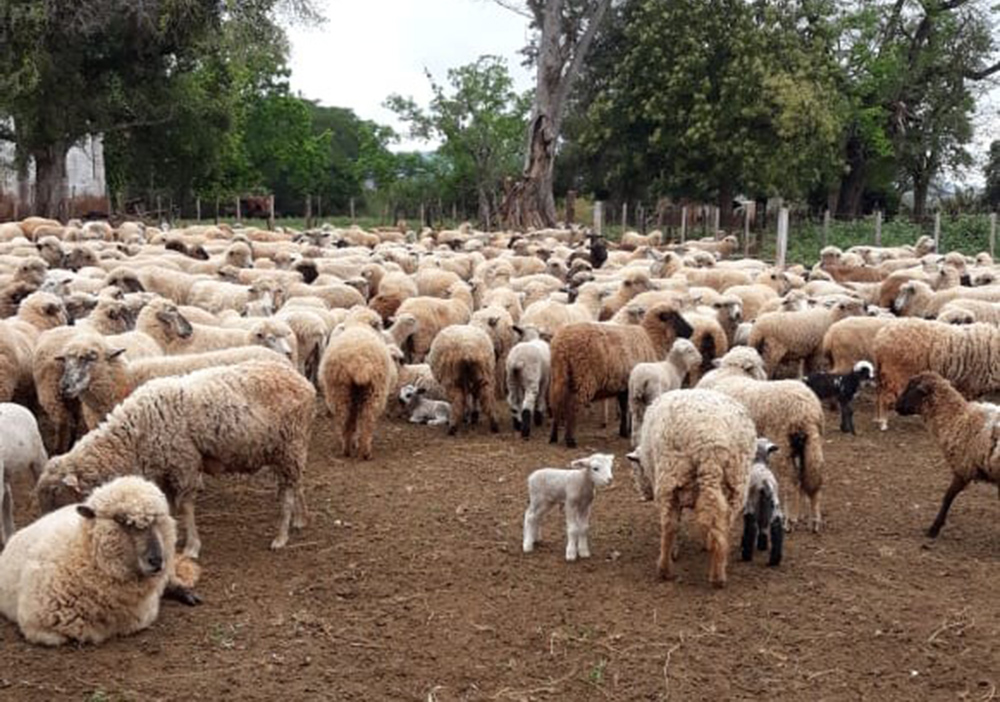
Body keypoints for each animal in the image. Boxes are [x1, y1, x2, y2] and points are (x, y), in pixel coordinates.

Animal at [36, 360, 312, 560]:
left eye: (56, 493)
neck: (135, 433)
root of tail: (302, 381)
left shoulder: (184, 463)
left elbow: (186, 506)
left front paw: (191, 547)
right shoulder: (164, 469)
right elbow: (167, 505)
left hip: (290, 445)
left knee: (288, 491)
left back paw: (281, 536)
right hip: (287, 449)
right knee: (297, 482)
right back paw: (300, 519)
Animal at [320, 316, 398, 460]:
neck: (359, 324)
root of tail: (359, 362)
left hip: (340, 390)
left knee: (345, 419)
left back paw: (347, 448)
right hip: (375, 390)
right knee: (367, 419)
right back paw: (365, 452)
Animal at [548, 304, 696, 448]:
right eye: (674, 317)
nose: (692, 331)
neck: (651, 340)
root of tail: (562, 345)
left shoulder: (624, 385)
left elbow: (625, 408)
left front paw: (624, 431)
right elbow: (628, 409)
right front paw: (626, 431)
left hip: (559, 376)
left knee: (557, 403)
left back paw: (553, 437)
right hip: (584, 377)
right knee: (572, 406)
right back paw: (570, 440)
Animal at [868, 320, 1000, 432]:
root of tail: (879, 340)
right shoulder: (968, 385)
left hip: (882, 373)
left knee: (878, 394)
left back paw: (877, 418)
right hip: (895, 373)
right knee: (886, 397)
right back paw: (883, 422)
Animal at [896, 374, 996, 540]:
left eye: (911, 388)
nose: (896, 405)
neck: (958, 419)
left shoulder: (963, 468)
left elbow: (948, 496)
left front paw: (934, 529)